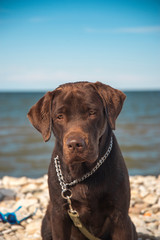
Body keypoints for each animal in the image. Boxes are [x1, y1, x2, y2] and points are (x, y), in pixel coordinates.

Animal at [27, 81, 138, 240]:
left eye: (91, 112)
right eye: (59, 116)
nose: (75, 144)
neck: (83, 172)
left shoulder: (120, 216)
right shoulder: (59, 215)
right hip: (47, 223)